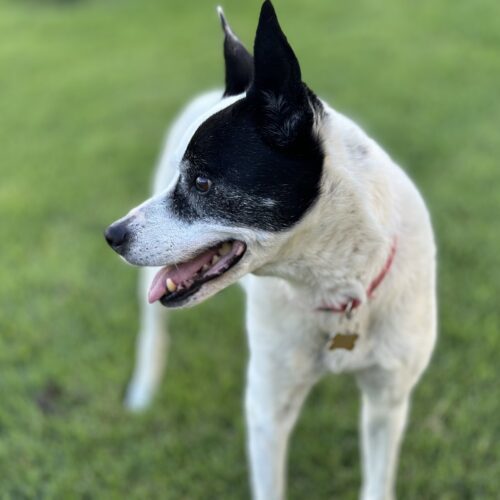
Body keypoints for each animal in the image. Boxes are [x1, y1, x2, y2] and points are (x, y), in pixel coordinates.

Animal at [106, 1, 438, 498]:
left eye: (202, 182)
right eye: (181, 179)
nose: (112, 235)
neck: (333, 286)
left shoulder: (387, 401)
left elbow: (378, 479)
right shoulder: (267, 409)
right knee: (153, 331)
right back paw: (144, 391)